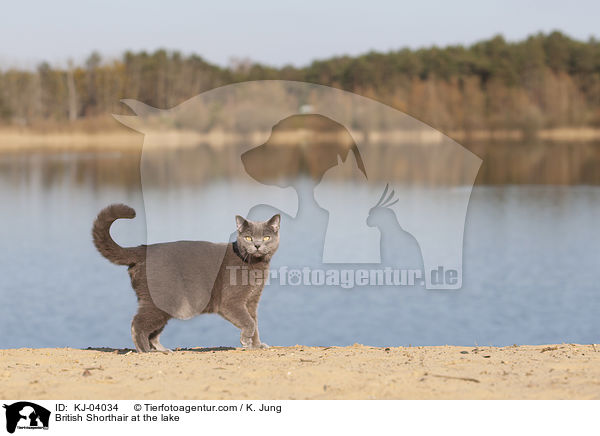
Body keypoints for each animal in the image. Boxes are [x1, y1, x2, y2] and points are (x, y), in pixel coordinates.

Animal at [92, 205, 280, 354]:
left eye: (266, 237)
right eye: (248, 238)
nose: (257, 245)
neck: (255, 264)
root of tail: (142, 249)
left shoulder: (252, 300)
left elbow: (255, 322)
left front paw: (256, 345)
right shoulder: (231, 302)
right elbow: (249, 322)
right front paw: (246, 341)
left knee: (153, 333)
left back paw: (163, 350)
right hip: (161, 299)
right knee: (137, 324)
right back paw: (144, 350)